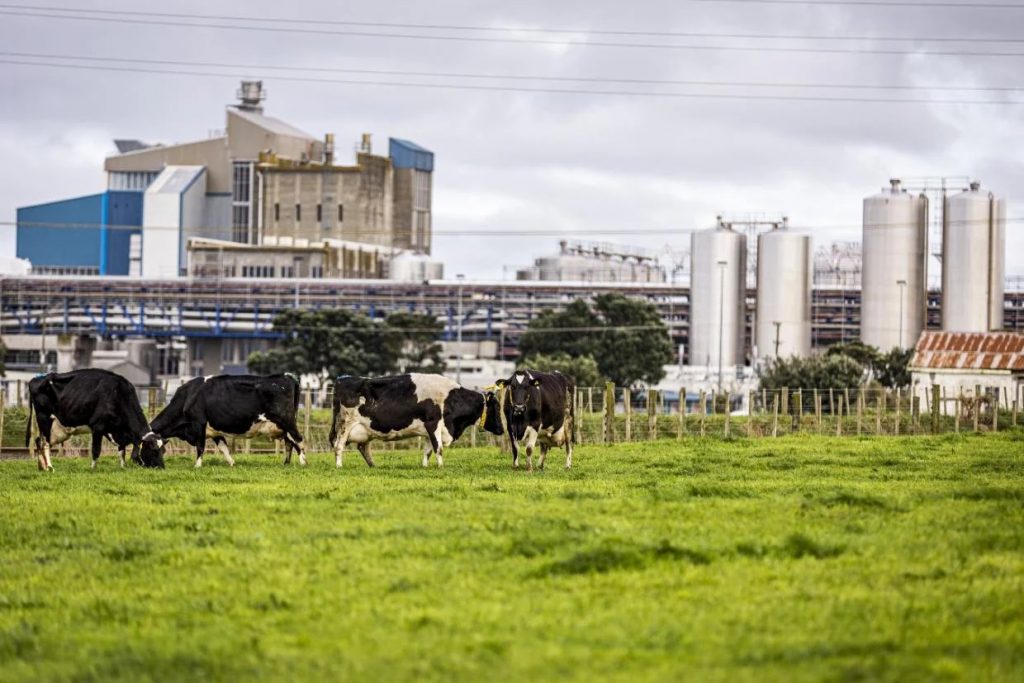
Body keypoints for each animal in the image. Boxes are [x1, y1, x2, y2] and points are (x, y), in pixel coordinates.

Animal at [24, 370, 164, 473]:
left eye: (163, 450)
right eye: (153, 450)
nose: (162, 467)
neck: (118, 394)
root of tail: (36, 378)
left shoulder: (117, 431)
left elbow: (122, 450)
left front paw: (123, 467)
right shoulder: (98, 427)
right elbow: (96, 450)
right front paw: (93, 468)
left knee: (38, 441)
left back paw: (42, 467)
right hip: (45, 419)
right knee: (44, 444)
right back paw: (50, 467)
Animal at [148, 374, 305, 471]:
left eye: (159, 450)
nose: (156, 467)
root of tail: (286, 376)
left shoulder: (199, 424)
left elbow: (200, 447)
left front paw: (197, 466)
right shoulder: (214, 431)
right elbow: (224, 448)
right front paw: (232, 463)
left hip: (287, 421)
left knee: (298, 440)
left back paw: (303, 463)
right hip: (283, 427)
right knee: (289, 443)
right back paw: (286, 464)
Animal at [327, 374, 487, 471]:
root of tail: (342, 379)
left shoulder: (429, 431)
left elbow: (428, 450)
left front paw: (425, 466)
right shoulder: (433, 423)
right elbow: (438, 448)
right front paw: (441, 466)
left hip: (366, 430)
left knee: (362, 447)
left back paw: (374, 466)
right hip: (345, 424)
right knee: (339, 445)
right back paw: (339, 466)